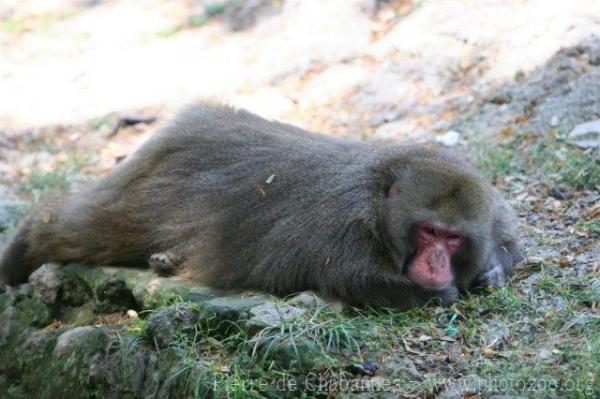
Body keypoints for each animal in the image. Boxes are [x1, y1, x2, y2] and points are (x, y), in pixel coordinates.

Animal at [0, 103, 520, 310]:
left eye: (453, 238)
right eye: (429, 232)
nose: (436, 264)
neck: (377, 197)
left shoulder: (491, 208)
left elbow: (512, 245)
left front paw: (492, 267)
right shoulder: (341, 226)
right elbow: (349, 277)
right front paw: (441, 292)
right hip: (141, 194)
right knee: (74, 228)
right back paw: (21, 253)